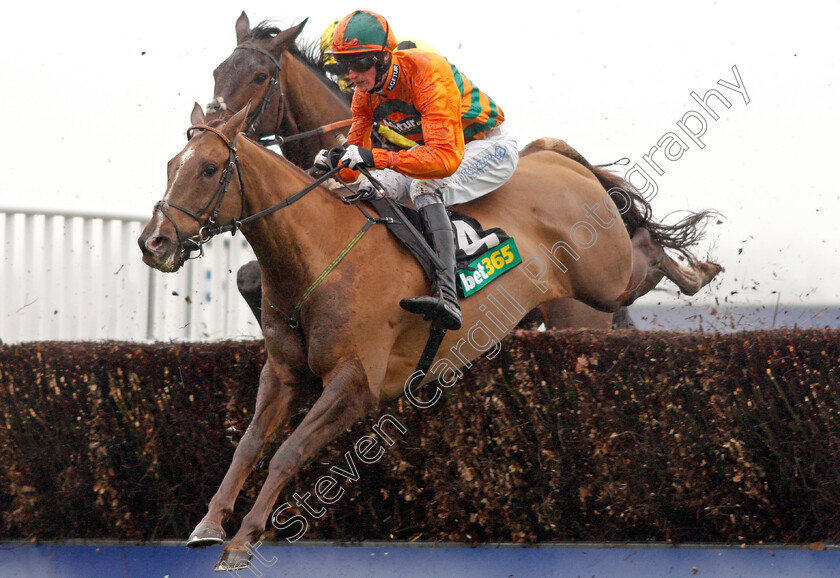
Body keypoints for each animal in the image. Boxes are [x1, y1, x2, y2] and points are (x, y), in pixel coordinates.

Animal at [141, 103, 720, 568]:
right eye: (170, 167)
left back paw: (698, 272)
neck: (318, 255)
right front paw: (210, 523)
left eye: (209, 168)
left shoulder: (356, 386)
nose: (155, 243)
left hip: (603, 278)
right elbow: (249, 444)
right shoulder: (283, 373)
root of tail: (549, 156)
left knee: (645, 254)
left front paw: (243, 540)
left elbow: (288, 451)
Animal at [207, 12, 720, 328]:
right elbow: (249, 276)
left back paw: (693, 272)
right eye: (217, 72)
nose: (212, 126)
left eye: (259, 76)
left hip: (582, 306)